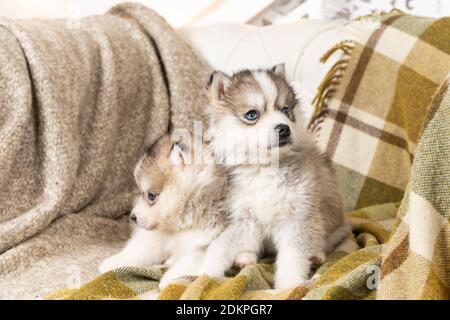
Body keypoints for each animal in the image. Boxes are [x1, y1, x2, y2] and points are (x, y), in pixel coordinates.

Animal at [101, 132, 229, 288]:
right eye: (141, 192)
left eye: (151, 195)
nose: (133, 217)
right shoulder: (157, 236)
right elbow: (138, 250)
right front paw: (114, 262)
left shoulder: (204, 243)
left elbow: (189, 263)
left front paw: (171, 280)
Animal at [199, 63, 350, 288]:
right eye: (252, 115)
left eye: (286, 110)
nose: (284, 129)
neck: (265, 168)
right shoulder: (242, 218)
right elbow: (220, 248)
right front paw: (202, 274)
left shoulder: (297, 218)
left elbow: (293, 258)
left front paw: (289, 285)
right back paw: (244, 257)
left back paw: (315, 255)